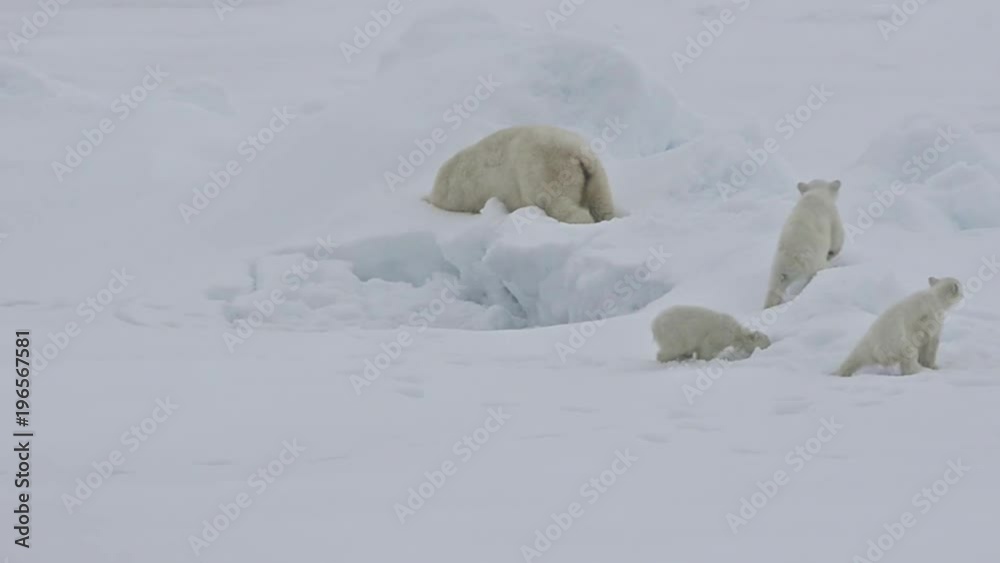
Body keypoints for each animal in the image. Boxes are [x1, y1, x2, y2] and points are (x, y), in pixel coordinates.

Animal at [764, 179, 844, 308]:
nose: (838, 180)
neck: (815, 194)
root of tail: (790, 263)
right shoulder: (832, 215)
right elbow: (837, 238)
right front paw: (832, 253)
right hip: (813, 261)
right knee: (819, 270)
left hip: (776, 268)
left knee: (774, 288)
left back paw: (769, 305)